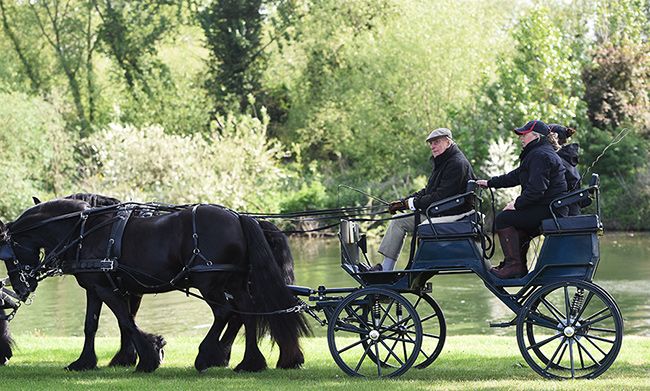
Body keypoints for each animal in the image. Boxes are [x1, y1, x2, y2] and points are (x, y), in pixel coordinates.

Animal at [0, 201, 306, 372]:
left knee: (227, 313)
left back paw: (209, 356)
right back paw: (247, 361)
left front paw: (149, 356)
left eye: (6, 252)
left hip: (210, 282)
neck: (84, 232)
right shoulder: (96, 287)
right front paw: (85, 362)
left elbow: (125, 319)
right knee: (246, 313)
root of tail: (239, 217)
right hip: (231, 282)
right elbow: (92, 325)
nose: (19, 288)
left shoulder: (107, 288)